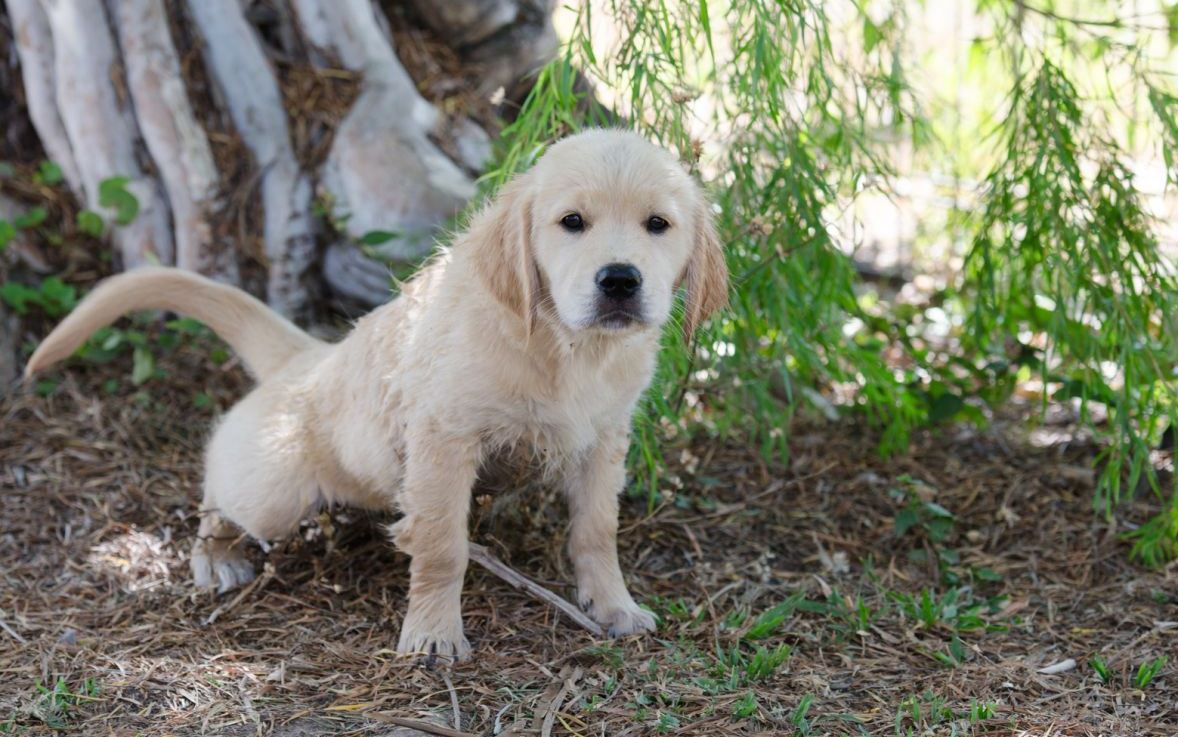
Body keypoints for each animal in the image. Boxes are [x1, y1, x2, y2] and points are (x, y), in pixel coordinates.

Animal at [25, 129, 729, 658]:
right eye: (572, 222)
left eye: (658, 224)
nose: (620, 280)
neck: (567, 349)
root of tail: (306, 358)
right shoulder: (444, 441)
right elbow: (443, 547)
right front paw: (434, 635)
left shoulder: (603, 441)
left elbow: (597, 532)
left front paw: (613, 606)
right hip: (272, 493)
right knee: (216, 498)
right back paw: (215, 560)